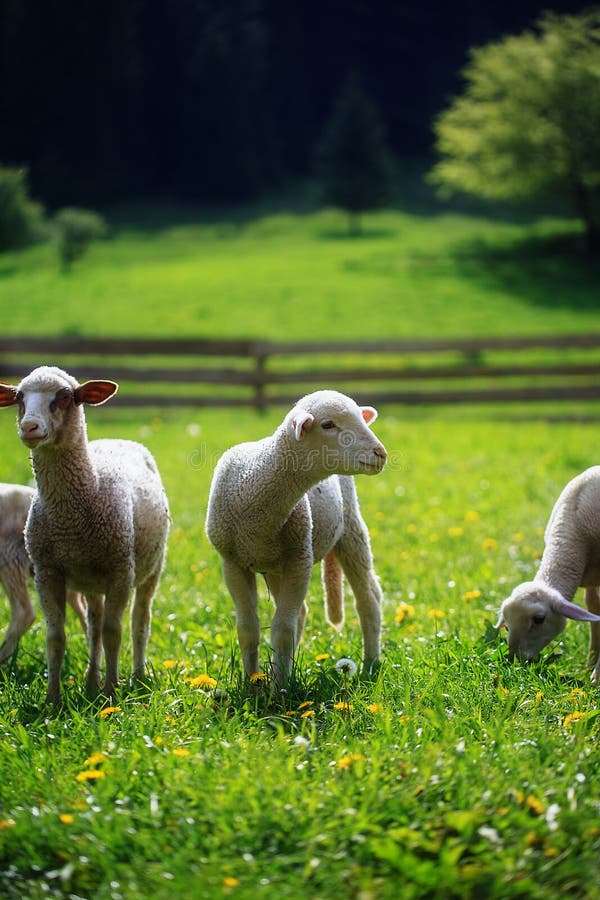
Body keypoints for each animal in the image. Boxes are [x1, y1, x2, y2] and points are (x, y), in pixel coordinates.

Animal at [204, 386, 386, 684]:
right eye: (327, 424)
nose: (380, 453)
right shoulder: (232, 563)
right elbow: (248, 629)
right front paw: (252, 682)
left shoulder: (300, 558)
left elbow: (282, 630)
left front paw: (280, 689)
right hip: (275, 565)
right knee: (300, 612)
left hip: (350, 529)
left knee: (369, 599)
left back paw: (370, 663)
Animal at [496, 464, 600, 684]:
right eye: (507, 625)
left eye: (539, 619)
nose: (514, 660)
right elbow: (594, 612)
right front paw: (590, 664)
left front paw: (596, 676)